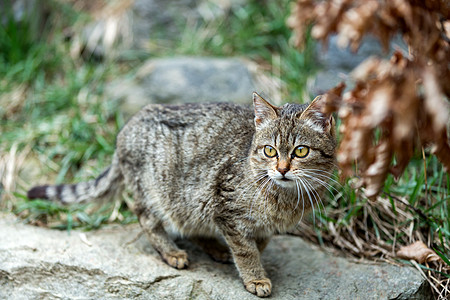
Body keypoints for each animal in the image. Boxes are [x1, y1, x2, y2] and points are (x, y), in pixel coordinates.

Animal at [28, 92, 336, 298]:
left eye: (301, 151)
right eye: (269, 150)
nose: (282, 169)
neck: (285, 198)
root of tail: (125, 129)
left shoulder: (256, 225)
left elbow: (257, 245)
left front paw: (248, 262)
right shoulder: (227, 208)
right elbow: (246, 250)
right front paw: (255, 277)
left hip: (192, 202)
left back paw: (214, 248)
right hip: (157, 194)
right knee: (146, 218)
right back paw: (171, 252)